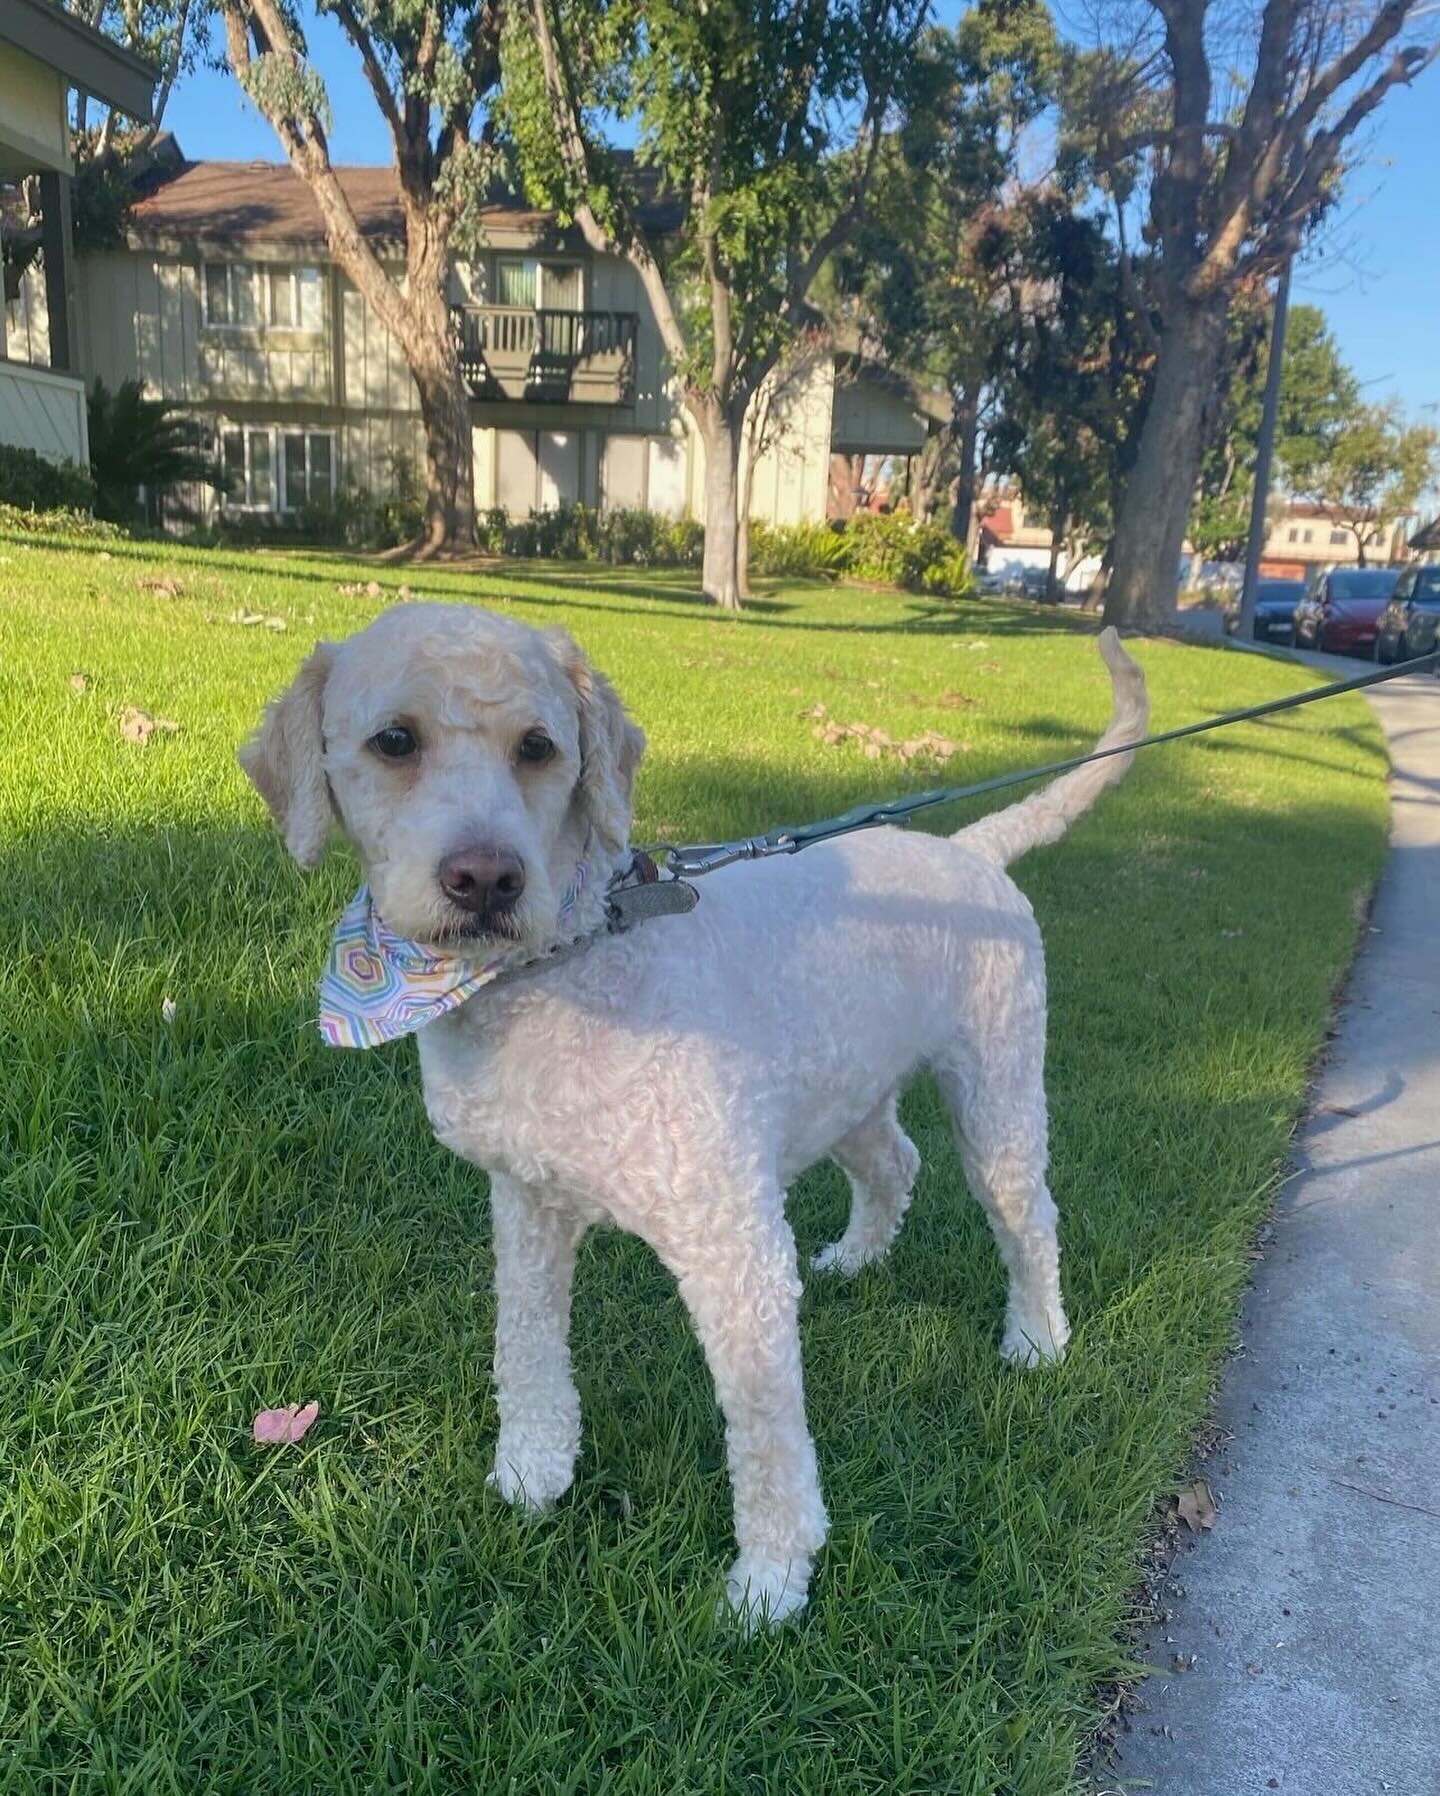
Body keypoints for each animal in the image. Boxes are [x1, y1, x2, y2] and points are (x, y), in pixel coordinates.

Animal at [244, 603, 1141, 1630]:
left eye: (540, 747)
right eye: (394, 741)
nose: (487, 880)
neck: (568, 965)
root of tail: (972, 849)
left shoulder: (732, 1246)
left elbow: (764, 1434)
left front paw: (771, 1581)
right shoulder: (525, 1204)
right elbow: (526, 1347)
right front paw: (533, 1473)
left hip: (996, 1082)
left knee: (1027, 1217)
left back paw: (1035, 1339)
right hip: (841, 1082)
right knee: (894, 1163)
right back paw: (857, 1257)